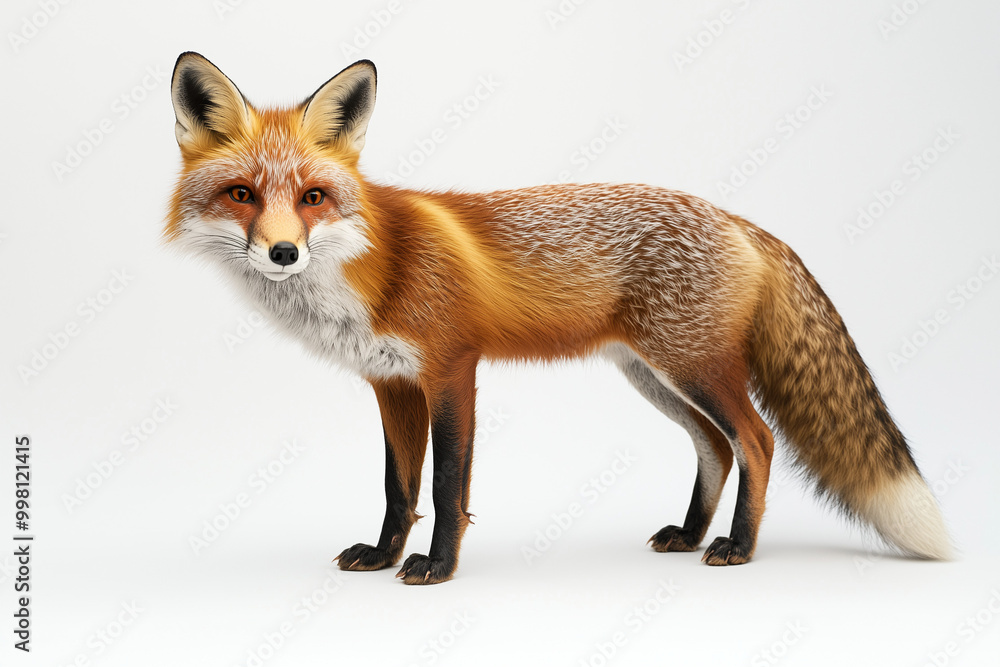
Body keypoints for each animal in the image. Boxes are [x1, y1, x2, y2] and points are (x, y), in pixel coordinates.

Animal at [166, 52, 952, 584]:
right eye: (241, 194)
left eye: (313, 196)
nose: (283, 252)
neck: (373, 266)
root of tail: (736, 218)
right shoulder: (391, 384)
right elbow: (399, 488)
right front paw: (385, 555)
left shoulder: (452, 370)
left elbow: (447, 486)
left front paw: (436, 567)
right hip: (654, 376)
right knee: (717, 447)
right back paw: (692, 534)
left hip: (694, 367)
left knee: (755, 442)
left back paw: (737, 547)